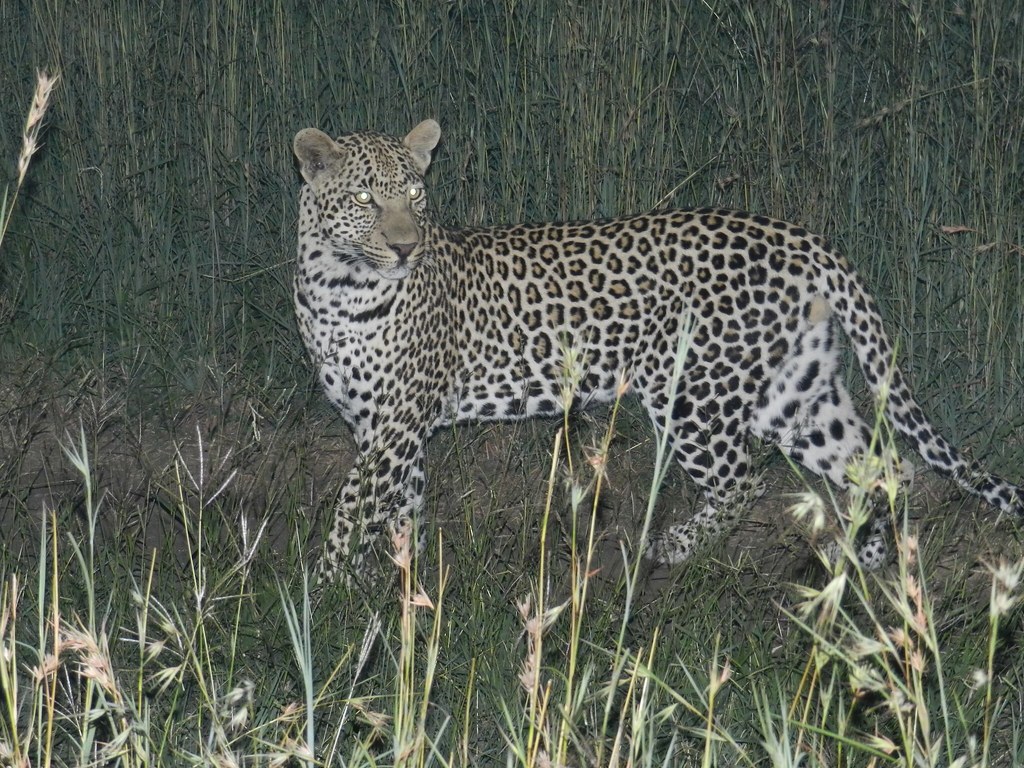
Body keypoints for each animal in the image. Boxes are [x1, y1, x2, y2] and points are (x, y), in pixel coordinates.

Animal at [292, 118, 1023, 584]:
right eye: (365, 197)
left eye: (415, 194)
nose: (406, 246)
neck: (337, 286)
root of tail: (796, 234)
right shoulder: (380, 427)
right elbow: (395, 507)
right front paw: (389, 583)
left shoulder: (398, 420)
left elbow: (354, 504)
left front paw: (323, 590)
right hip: (794, 392)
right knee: (880, 465)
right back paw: (866, 558)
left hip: (695, 390)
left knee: (745, 479)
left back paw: (669, 548)